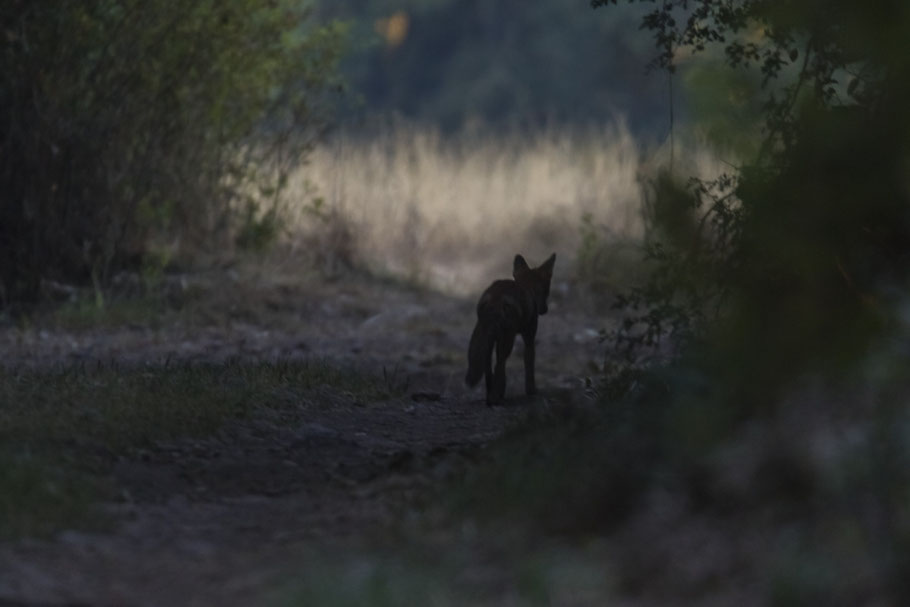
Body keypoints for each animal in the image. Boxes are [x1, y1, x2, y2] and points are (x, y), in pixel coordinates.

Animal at [470, 254, 556, 406]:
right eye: (547, 291)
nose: (545, 310)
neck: (527, 288)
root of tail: (496, 297)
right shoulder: (529, 339)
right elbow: (529, 366)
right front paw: (531, 391)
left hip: (488, 338)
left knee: (489, 367)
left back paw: (491, 395)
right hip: (507, 340)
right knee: (499, 364)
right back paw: (494, 398)